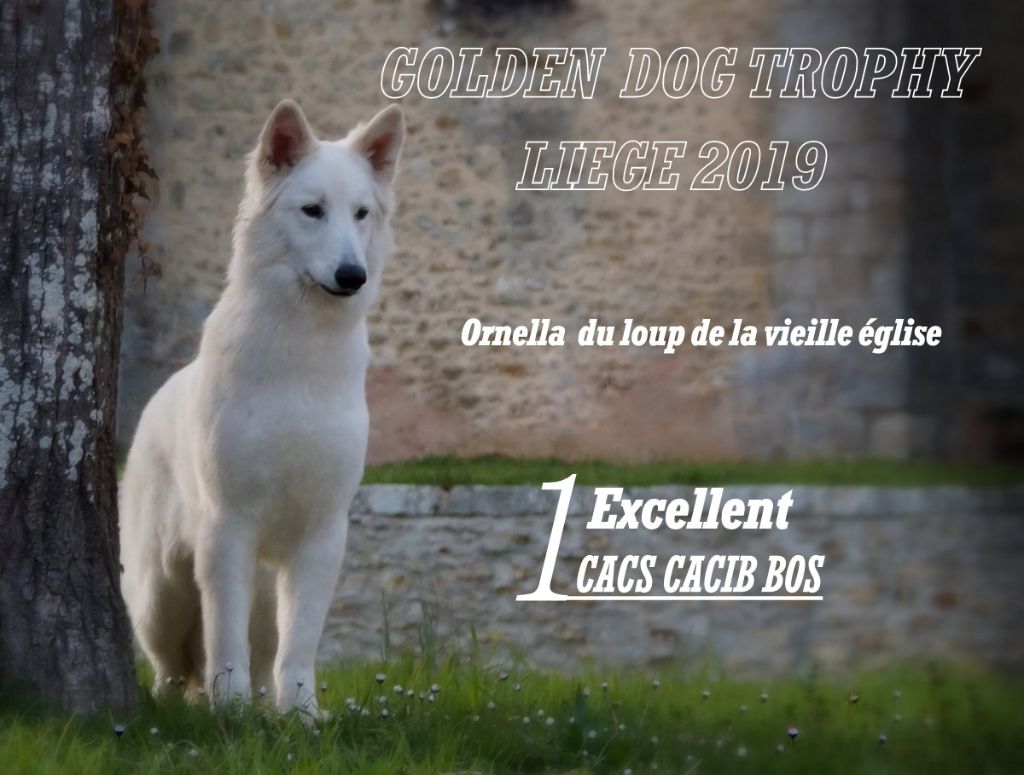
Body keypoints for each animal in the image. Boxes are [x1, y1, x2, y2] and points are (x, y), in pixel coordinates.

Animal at [119, 99, 404, 715]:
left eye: (361, 214)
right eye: (312, 211)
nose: (353, 275)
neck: (300, 358)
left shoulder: (323, 535)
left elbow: (300, 645)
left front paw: (301, 714)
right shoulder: (229, 530)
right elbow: (225, 636)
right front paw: (230, 709)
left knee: (260, 651)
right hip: (163, 593)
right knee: (168, 666)